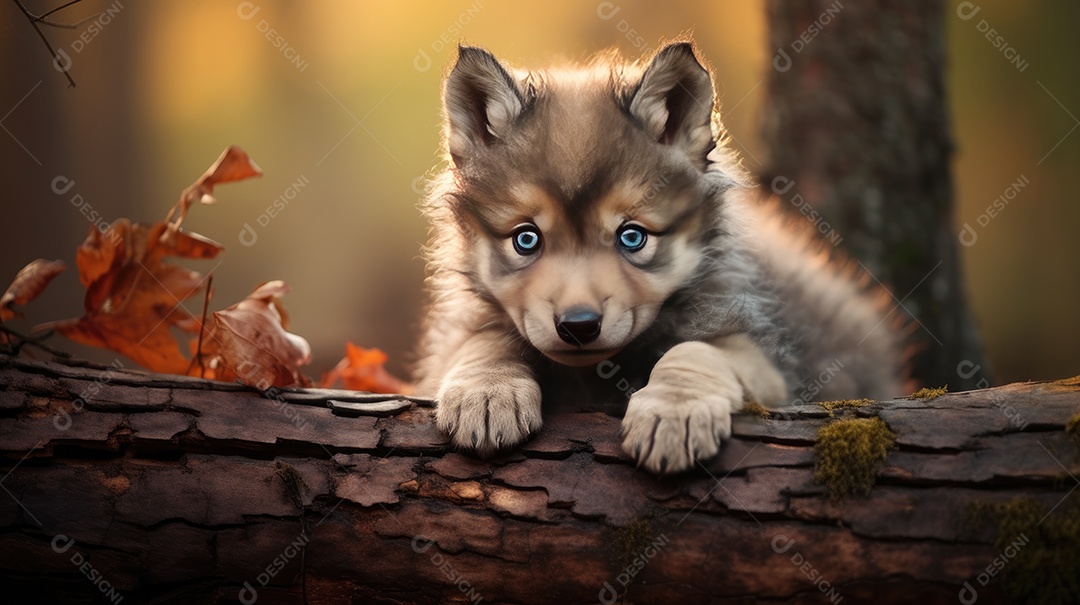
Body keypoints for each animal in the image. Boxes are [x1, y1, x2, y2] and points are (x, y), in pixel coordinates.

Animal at [414, 39, 908, 474]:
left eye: (632, 237)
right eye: (526, 240)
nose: (578, 326)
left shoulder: (767, 360)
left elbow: (696, 349)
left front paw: (673, 411)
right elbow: (487, 339)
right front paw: (487, 391)